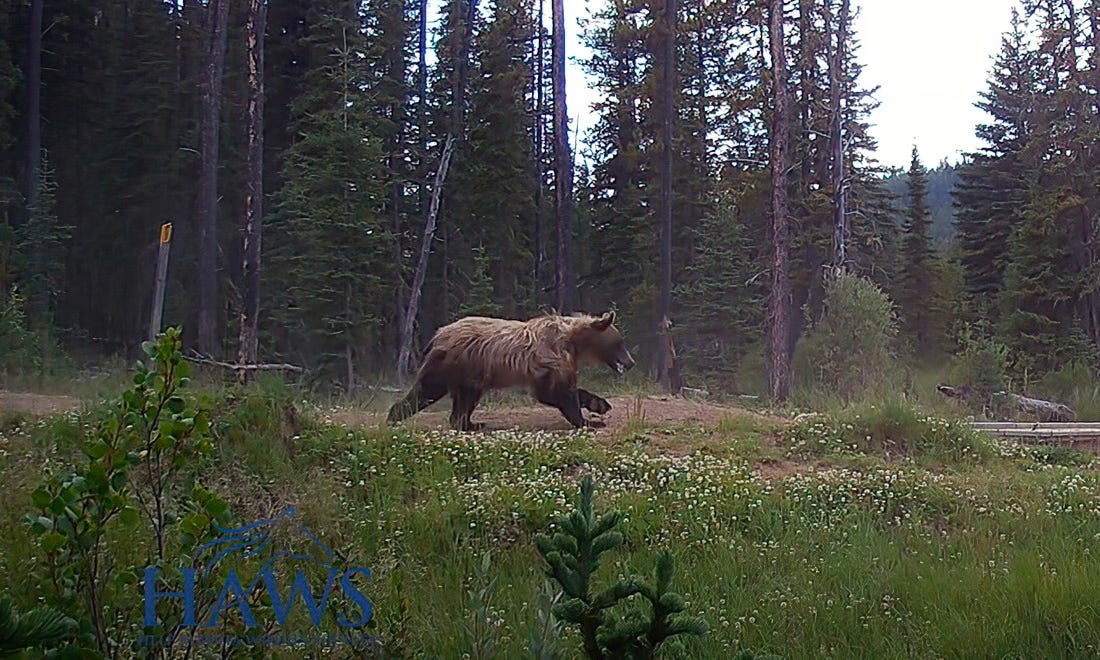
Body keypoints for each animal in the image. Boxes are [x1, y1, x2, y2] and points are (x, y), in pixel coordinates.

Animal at [387, 311, 635, 430]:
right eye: (619, 343)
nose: (631, 362)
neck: (574, 343)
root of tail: (439, 334)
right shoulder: (549, 360)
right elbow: (558, 394)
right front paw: (588, 421)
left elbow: (557, 391)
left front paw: (599, 405)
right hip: (454, 363)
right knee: (428, 389)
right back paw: (394, 415)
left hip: (470, 373)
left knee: (464, 398)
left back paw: (471, 423)